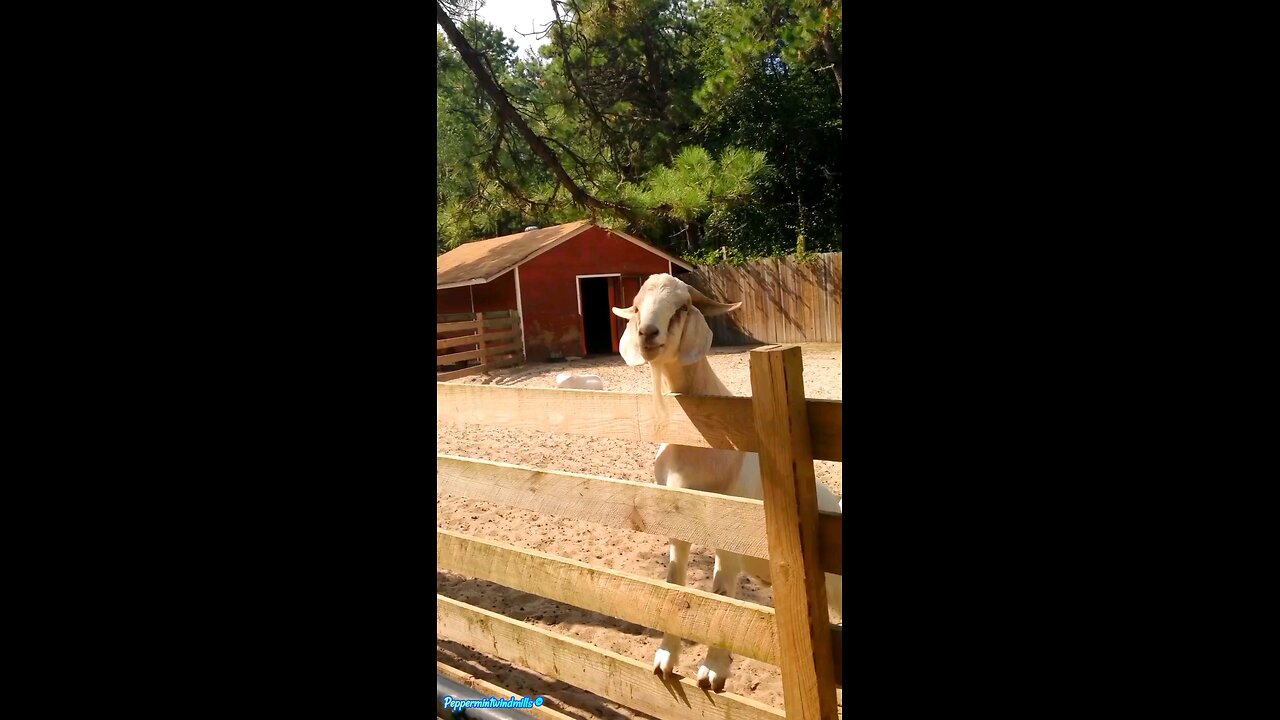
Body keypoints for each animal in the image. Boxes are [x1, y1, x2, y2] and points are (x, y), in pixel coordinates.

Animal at [612, 273, 842, 692]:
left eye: (683, 306)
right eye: (635, 306)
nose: (647, 333)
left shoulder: (732, 528)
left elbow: (721, 594)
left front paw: (713, 670)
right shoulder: (677, 522)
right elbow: (674, 583)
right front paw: (665, 661)